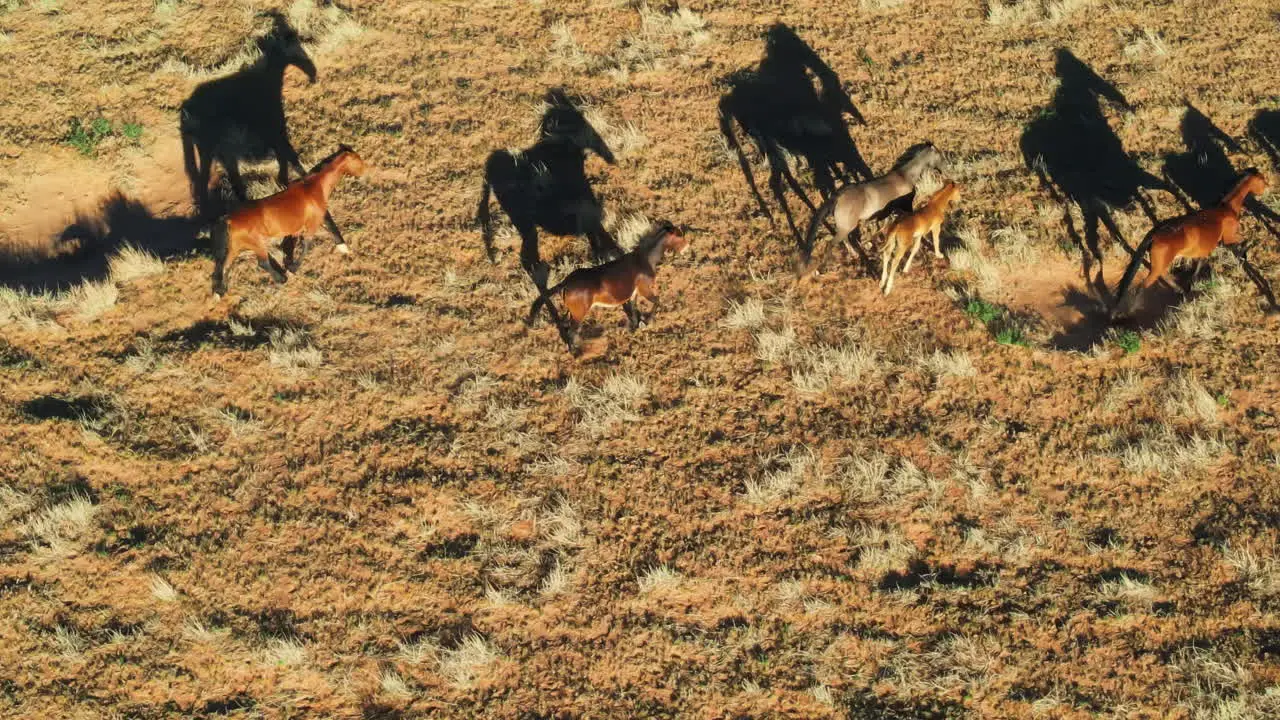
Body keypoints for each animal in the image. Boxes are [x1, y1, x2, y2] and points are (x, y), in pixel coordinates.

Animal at [211, 144, 368, 295]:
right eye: (358, 160)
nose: (365, 173)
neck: (314, 187)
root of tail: (229, 220)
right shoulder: (312, 223)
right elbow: (309, 242)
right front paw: (293, 268)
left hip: (236, 247)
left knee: (226, 265)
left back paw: (221, 291)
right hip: (257, 244)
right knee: (262, 263)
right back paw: (281, 279)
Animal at [527, 220, 696, 351]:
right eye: (679, 236)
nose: (688, 249)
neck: (646, 259)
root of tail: (566, 282)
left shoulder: (633, 294)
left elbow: (633, 310)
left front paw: (636, 326)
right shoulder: (644, 289)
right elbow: (657, 301)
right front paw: (648, 320)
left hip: (572, 312)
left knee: (567, 328)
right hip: (579, 314)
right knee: (572, 331)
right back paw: (577, 351)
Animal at [1111, 169, 1269, 315]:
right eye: (1262, 180)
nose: (1266, 189)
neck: (1226, 209)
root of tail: (1155, 234)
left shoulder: (1209, 248)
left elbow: (1199, 265)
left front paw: (1192, 285)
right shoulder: (1229, 237)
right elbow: (1243, 240)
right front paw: (1245, 253)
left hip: (1160, 264)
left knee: (1163, 275)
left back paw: (1179, 289)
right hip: (1159, 265)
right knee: (1145, 284)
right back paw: (1134, 308)